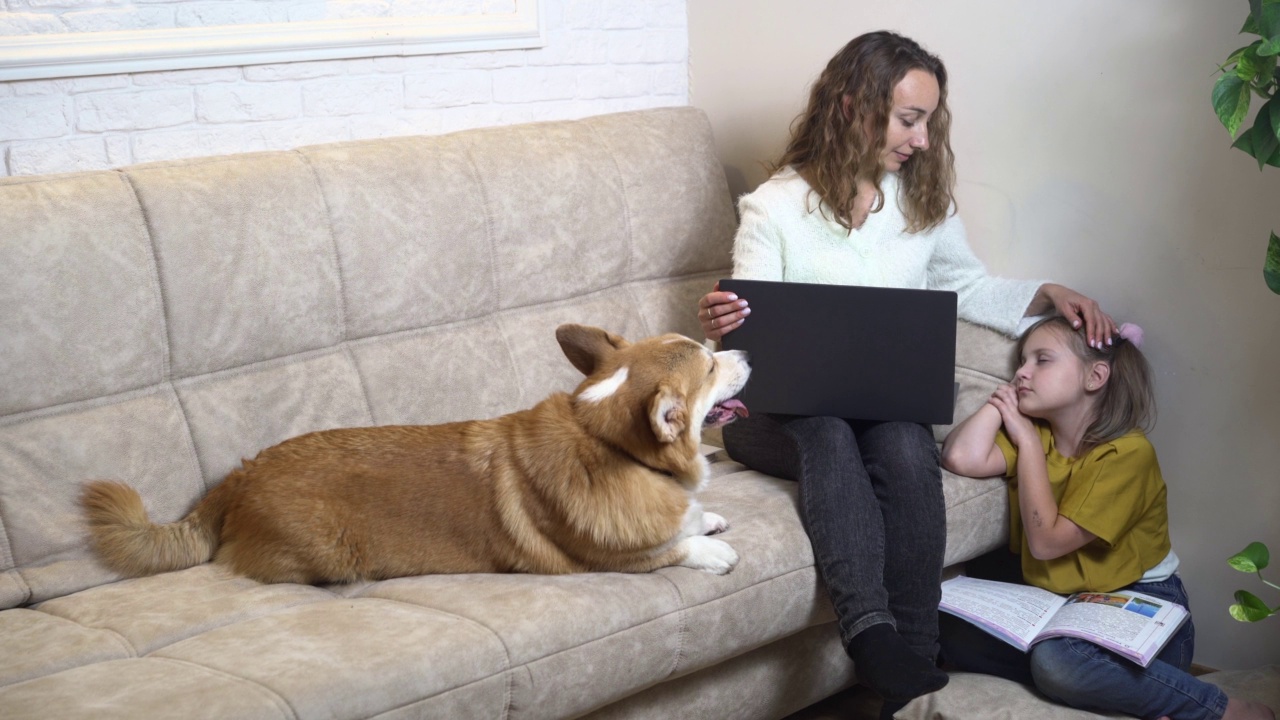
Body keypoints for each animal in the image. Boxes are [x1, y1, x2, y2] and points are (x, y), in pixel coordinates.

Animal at [85, 325, 747, 584]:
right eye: (711, 366)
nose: (745, 353)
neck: (605, 440)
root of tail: (238, 477)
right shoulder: (605, 561)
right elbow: (672, 549)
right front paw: (713, 550)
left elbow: (693, 519)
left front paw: (709, 517)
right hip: (328, 556)